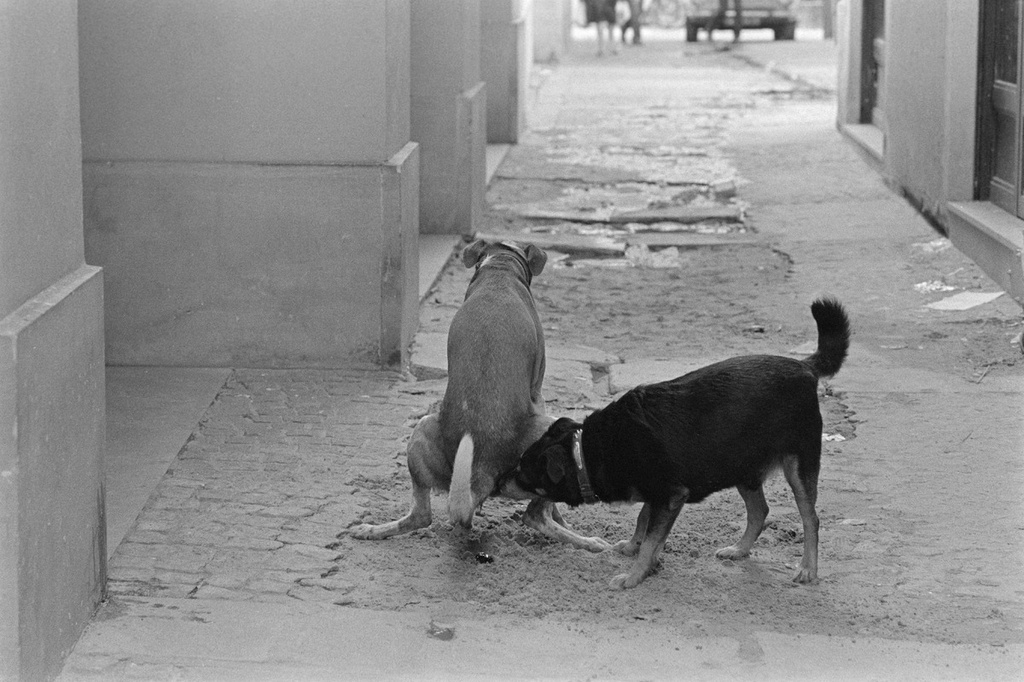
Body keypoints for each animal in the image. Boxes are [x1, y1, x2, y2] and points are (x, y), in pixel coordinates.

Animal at [507, 299, 851, 589]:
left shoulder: (670, 495)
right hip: (740, 465)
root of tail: (805, 367)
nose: (502, 479)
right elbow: (644, 522)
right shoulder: (658, 494)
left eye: (523, 469)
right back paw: (739, 550)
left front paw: (634, 576)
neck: (586, 453)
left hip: (798, 466)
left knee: (810, 518)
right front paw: (634, 549)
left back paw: (808, 569)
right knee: (760, 511)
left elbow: (650, 539)